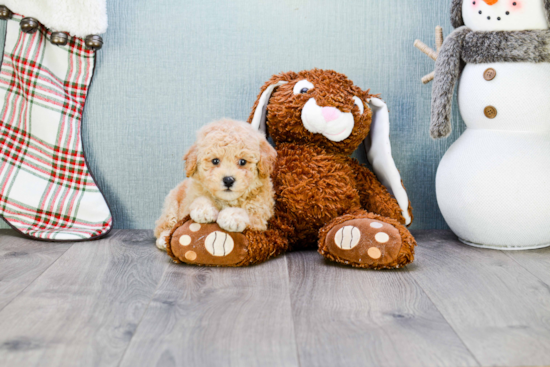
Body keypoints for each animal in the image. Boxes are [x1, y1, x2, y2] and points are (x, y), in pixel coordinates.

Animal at [154, 119, 276, 252]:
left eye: (243, 161)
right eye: (215, 161)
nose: (228, 180)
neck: (227, 201)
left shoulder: (261, 212)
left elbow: (249, 212)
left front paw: (231, 217)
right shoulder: (190, 199)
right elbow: (199, 200)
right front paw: (204, 210)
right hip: (171, 203)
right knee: (164, 224)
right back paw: (164, 239)